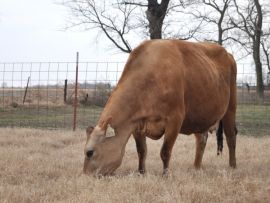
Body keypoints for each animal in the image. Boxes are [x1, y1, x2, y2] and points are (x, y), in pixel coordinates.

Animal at [83, 39, 236, 176]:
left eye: (90, 152)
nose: (85, 175)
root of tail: (227, 53)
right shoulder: (136, 124)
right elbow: (141, 151)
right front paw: (141, 173)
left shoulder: (175, 119)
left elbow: (165, 151)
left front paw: (165, 175)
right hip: (200, 116)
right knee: (201, 139)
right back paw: (196, 168)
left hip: (230, 107)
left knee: (230, 136)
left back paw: (232, 166)